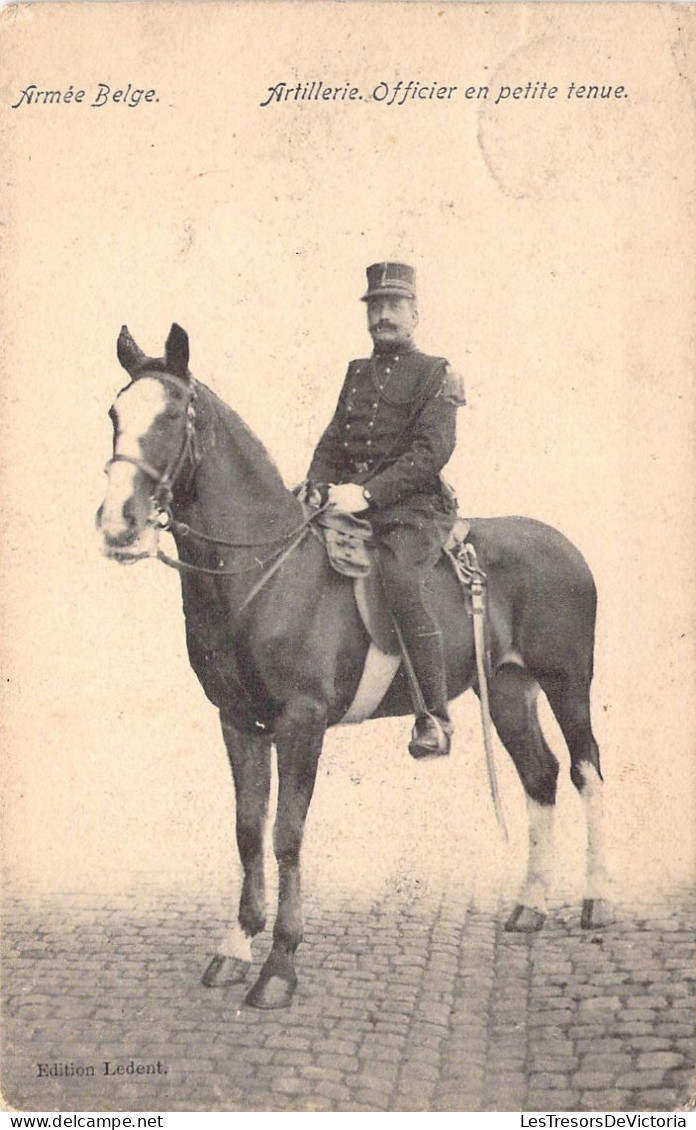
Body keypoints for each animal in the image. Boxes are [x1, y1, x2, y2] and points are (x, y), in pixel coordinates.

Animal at [96, 323, 610, 1012]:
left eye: (174, 415)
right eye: (115, 415)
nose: (116, 523)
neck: (263, 569)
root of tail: (565, 546)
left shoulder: (301, 721)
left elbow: (287, 833)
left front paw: (279, 965)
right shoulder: (238, 722)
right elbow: (247, 828)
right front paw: (235, 945)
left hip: (566, 683)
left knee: (587, 771)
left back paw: (596, 898)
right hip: (506, 690)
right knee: (541, 775)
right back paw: (530, 906)